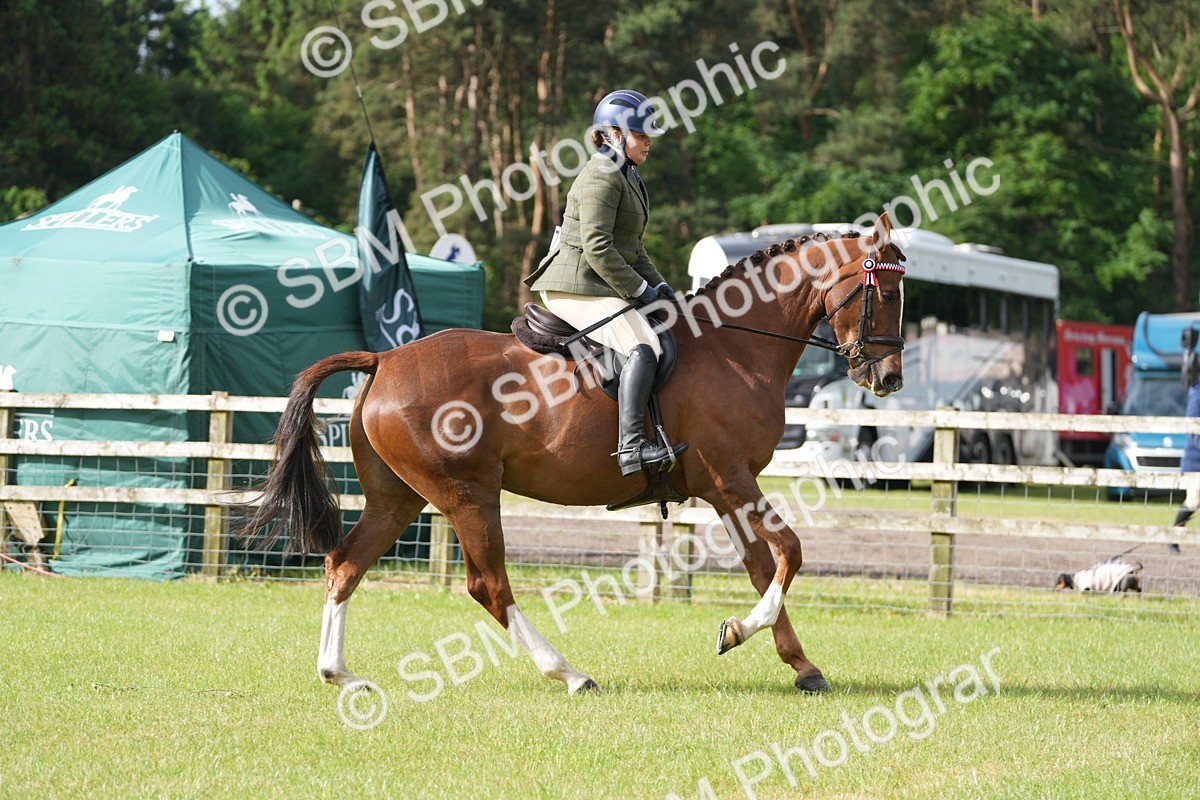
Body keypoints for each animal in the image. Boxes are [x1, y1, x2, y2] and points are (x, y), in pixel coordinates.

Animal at [238, 213, 907, 695]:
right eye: (885, 291)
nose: (889, 378)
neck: (735, 348)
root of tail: (383, 359)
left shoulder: (724, 491)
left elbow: (765, 567)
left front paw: (798, 664)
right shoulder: (733, 479)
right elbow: (791, 550)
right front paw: (739, 631)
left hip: (397, 497)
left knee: (345, 564)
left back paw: (340, 675)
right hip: (467, 494)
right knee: (489, 585)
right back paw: (569, 673)